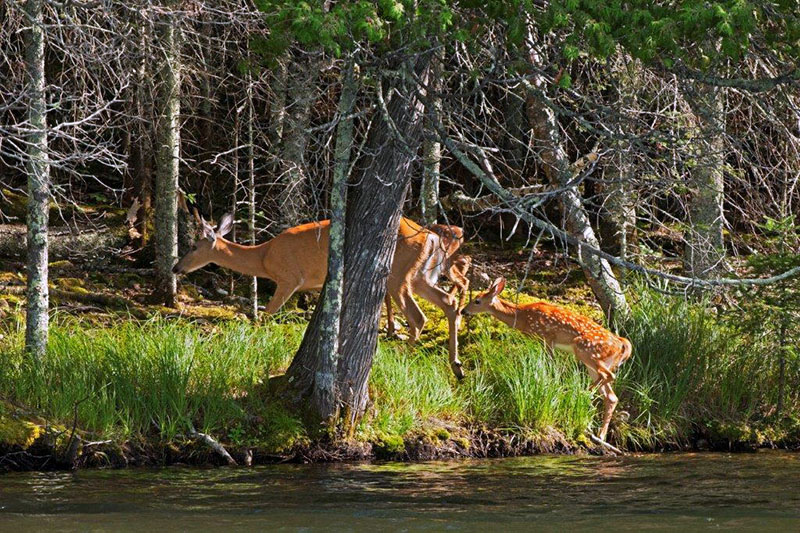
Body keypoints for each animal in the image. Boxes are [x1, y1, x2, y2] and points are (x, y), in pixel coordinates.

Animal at [172, 210, 470, 378]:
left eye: (194, 246)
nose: (176, 267)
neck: (264, 258)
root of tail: (430, 236)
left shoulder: (289, 278)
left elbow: (266, 315)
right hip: (421, 275)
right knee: (448, 301)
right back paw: (456, 365)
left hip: (398, 274)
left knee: (418, 316)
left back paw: (405, 355)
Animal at [461, 277, 632, 442]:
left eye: (477, 300)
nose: (463, 311)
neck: (522, 317)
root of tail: (621, 344)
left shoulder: (547, 337)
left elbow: (551, 366)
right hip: (596, 362)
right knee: (611, 396)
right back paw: (601, 434)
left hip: (585, 350)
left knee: (609, 376)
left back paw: (584, 392)